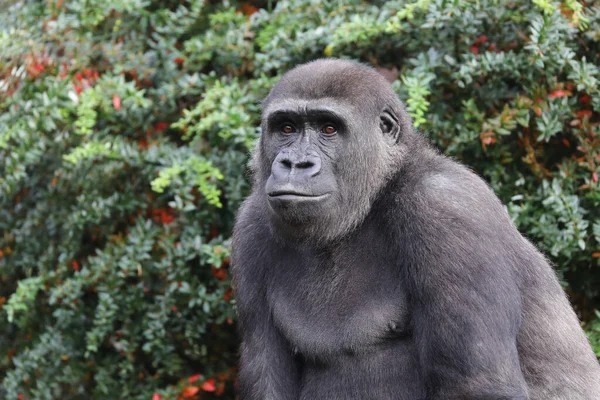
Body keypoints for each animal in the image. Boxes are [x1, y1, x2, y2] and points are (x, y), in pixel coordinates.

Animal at [230, 57, 600, 398]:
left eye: (328, 129)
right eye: (286, 128)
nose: (295, 164)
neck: (375, 194)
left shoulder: (445, 206)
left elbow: (479, 386)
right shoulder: (250, 227)